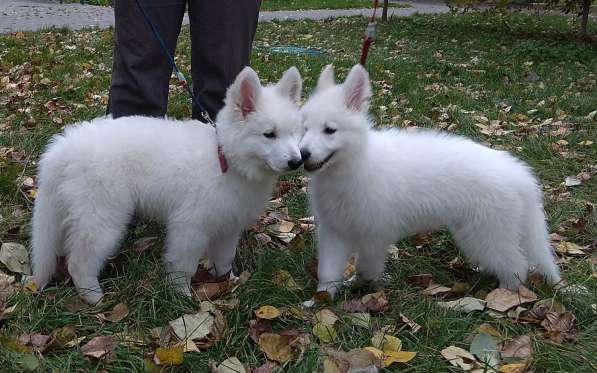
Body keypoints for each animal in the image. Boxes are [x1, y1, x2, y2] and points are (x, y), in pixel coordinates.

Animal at [32, 66, 302, 302]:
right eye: (269, 134)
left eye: (294, 133)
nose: (297, 161)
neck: (224, 158)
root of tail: (62, 147)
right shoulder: (189, 226)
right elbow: (184, 265)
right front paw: (182, 296)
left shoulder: (228, 224)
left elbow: (224, 258)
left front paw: (227, 281)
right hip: (102, 216)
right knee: (79, 261)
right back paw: (93, 297)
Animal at [300, 64, 560, 296]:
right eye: (303, 129)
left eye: (330, 130)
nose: (302, 154)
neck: (354, 165)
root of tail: (518, 173)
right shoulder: (333, 230)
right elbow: (328, 271)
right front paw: (323, 298)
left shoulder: (374, 235)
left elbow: (367, 267)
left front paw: (365, 288)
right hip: (476, 232)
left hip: (487, 233)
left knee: (517, 265)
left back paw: (505, 295)